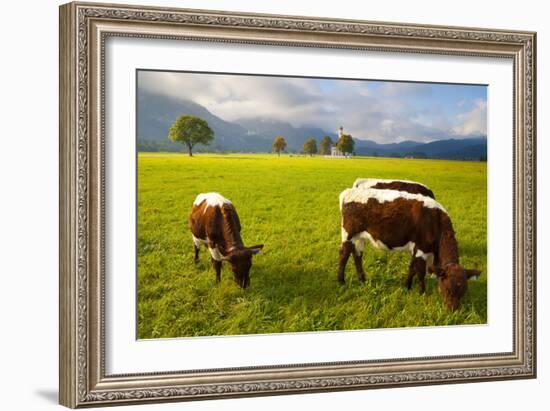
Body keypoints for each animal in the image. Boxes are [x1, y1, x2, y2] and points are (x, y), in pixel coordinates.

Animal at [338, 188, 480, 310]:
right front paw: (422, 293)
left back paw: (362, 279)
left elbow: (412, 268)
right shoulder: (421, 249)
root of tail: (348, 191)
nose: (453, 309)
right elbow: (420, 272)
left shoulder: (417, 249)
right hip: (348, 233)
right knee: (344, 254)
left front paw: (407, 286)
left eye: (463, 291)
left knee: (357, 255)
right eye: (448, 289)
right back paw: (341, 281)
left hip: (360, 237)